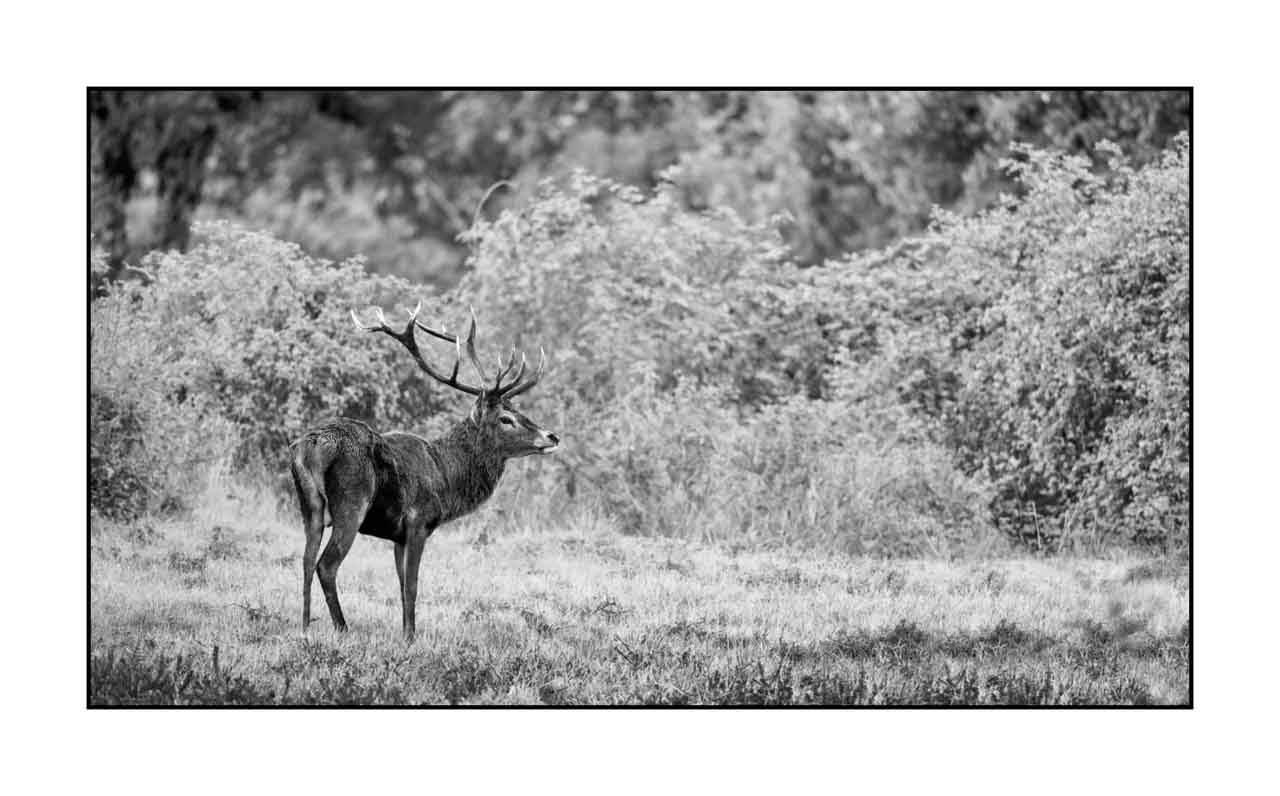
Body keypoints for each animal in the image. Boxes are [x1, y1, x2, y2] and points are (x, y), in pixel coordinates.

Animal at [288, 299, 559, 640]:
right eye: (505, 419)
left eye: (518, 410)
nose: (552, 436)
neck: (446, 478)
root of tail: (310, 445)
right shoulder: (418, 522)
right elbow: (412, 585)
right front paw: (410, 637)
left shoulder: (397, 536)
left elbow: (401, 583)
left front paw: (406, 631)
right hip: (351, 503)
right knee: (326, 564)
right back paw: (343, 628)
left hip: (309, 506)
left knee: (305, 561)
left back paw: (304, 627)